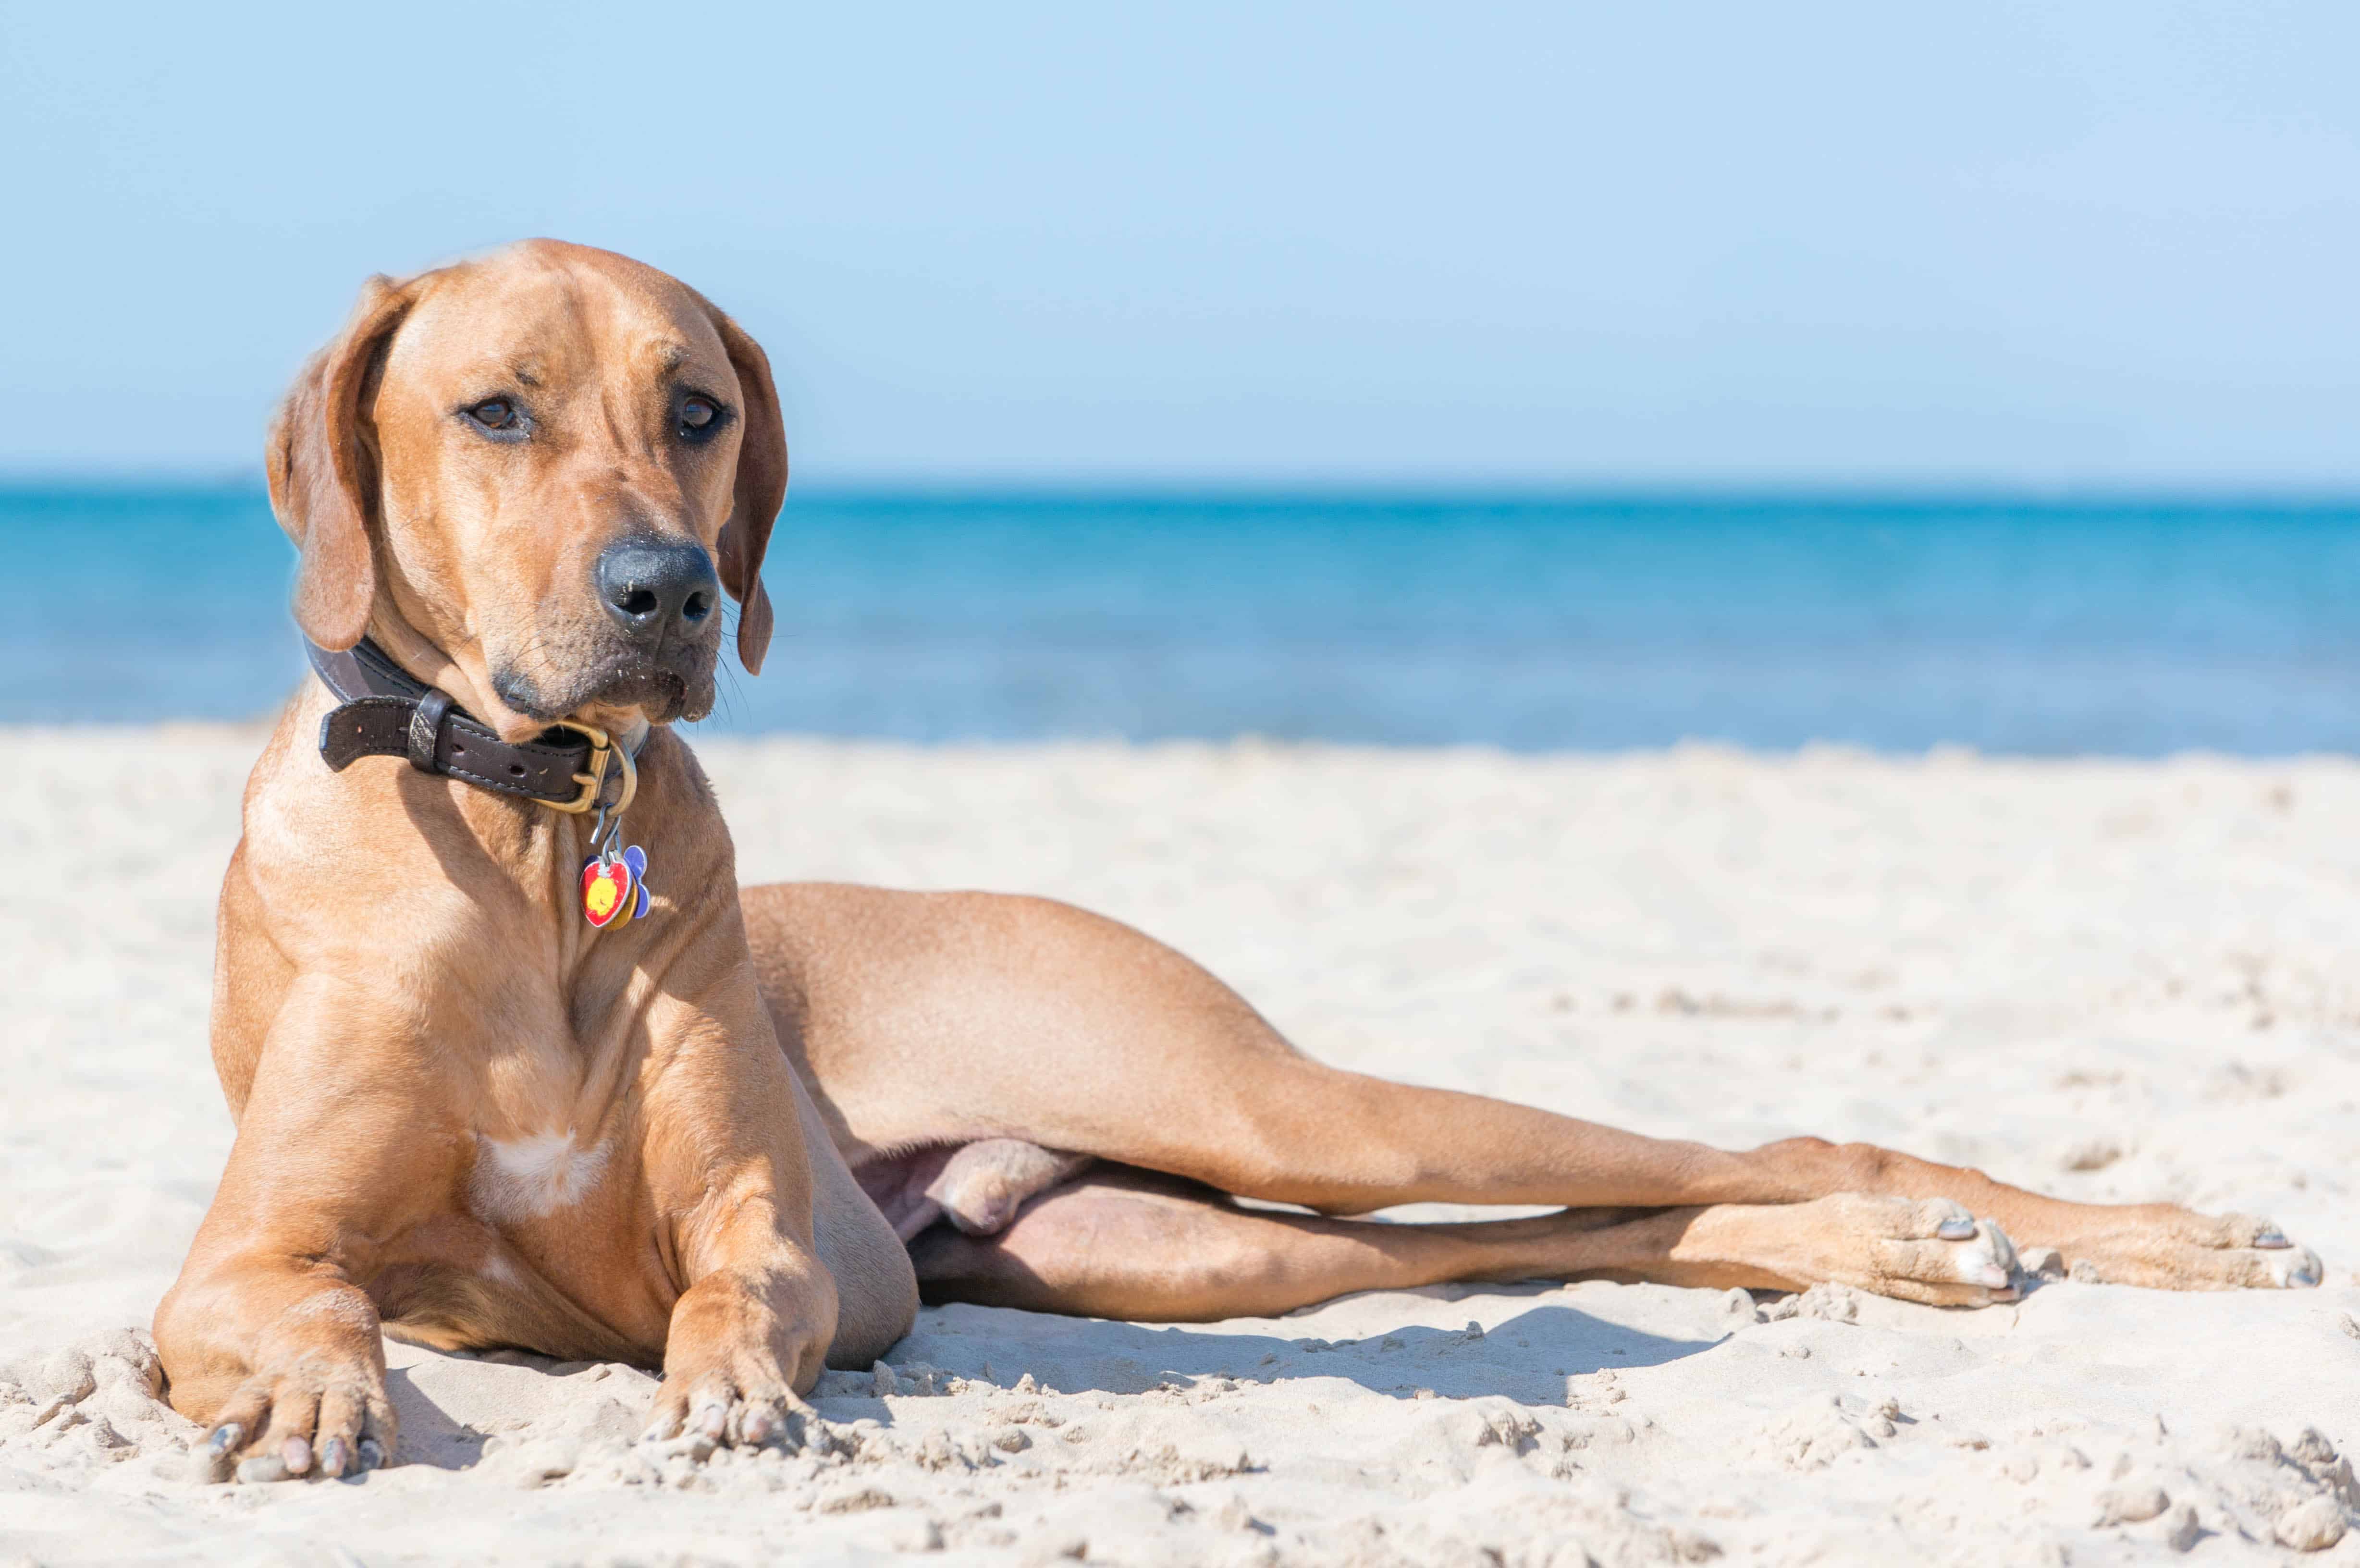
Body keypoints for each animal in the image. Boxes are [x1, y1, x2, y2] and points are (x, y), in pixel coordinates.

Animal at [152, 242, 2322, 1483]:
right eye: (493, 411)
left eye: (696, 411)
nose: (668, 592)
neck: (534, 826)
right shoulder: (250, 1251)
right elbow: (290, 1305)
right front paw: (312, 1401)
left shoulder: (756, 1228)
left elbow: (735, 1298)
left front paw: (734, 1396)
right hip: (1165, 1243)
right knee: (1578, 1236)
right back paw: (1903, 1255)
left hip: (1263, 1107)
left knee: (1751, 1143)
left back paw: (2108, 1235)